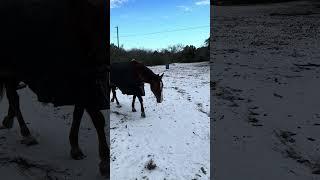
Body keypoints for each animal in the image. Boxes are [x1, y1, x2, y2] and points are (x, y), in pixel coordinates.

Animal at [0, 0, 110, 177]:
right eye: (92, 14)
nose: (102, 63)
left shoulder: (82, 83)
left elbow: (77, 115)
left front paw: (75, 147)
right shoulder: (83, 84)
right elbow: (98, 119)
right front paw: (105, 161)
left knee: (12, 97)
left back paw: (10, 121)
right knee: (14, 98)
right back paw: (27, 134)